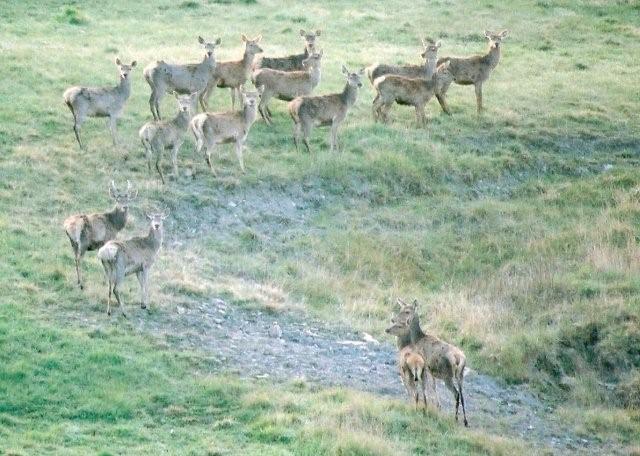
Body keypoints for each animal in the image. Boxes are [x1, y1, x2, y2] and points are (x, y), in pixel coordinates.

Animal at [384, 300, 470, 428]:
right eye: (401, 309)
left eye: (407, 311)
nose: (393, 319)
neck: (416, 340)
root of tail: (459, 358)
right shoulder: (430, 371)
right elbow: (432, 388)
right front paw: (436, 407)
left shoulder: (428, 369)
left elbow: (430, 388)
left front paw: (434, 406)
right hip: (460, 375)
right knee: (462, 395)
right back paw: (465, 421)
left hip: (447, 375)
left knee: (456, 394)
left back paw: (455, 418)